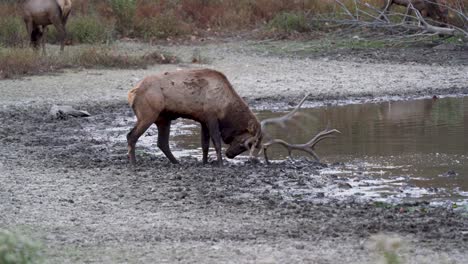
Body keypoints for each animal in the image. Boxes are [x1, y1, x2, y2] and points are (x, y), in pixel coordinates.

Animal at [127, 69, 340, 166]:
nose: (231, 155)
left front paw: (205, 162)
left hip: (164, 118)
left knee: (162, 142)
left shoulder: (203, 120)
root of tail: (133, 92)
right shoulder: (211, 117)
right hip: (148, 113)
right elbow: (216, 142)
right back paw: (134, 162)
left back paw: (177, 162)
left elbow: (204, 144)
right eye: (246, 143)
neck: (226, 109)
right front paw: (220, 162)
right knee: (131, 135)